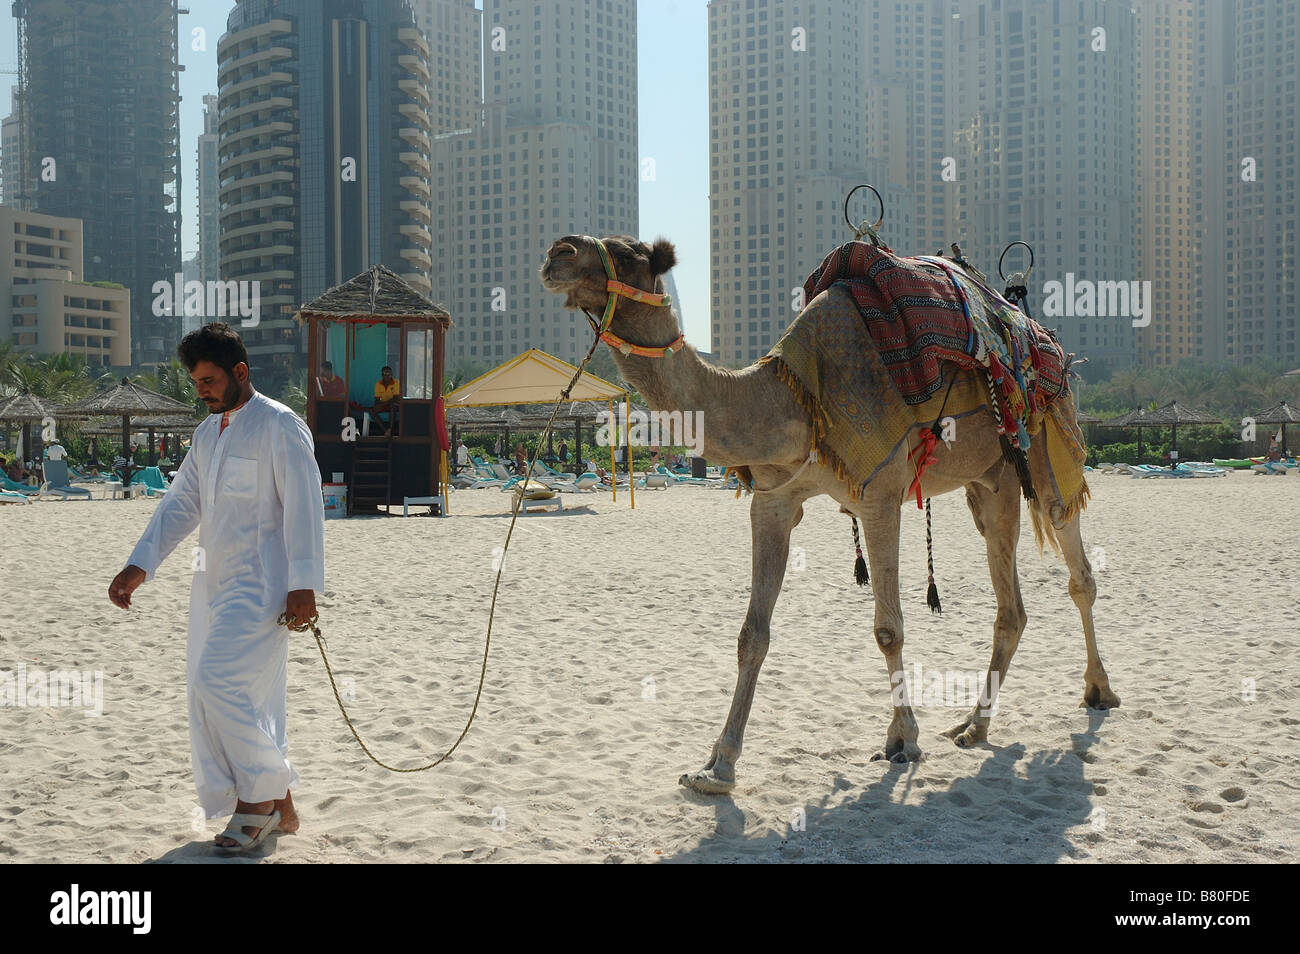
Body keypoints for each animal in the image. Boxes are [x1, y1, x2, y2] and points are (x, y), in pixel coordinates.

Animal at [535, 235, 1118, 795]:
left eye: (631, 253)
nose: (557, 252)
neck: (793, 401)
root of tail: (1045, 341)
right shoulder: (773, 501)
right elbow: (752, 634)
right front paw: (717, 766)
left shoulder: (880, 493)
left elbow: (888, 629)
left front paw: (902, 740)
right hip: (991, 481)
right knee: (1011, 604)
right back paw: (974, 726)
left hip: (1051, 442)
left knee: (1075, 562)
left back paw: (1098, 690)